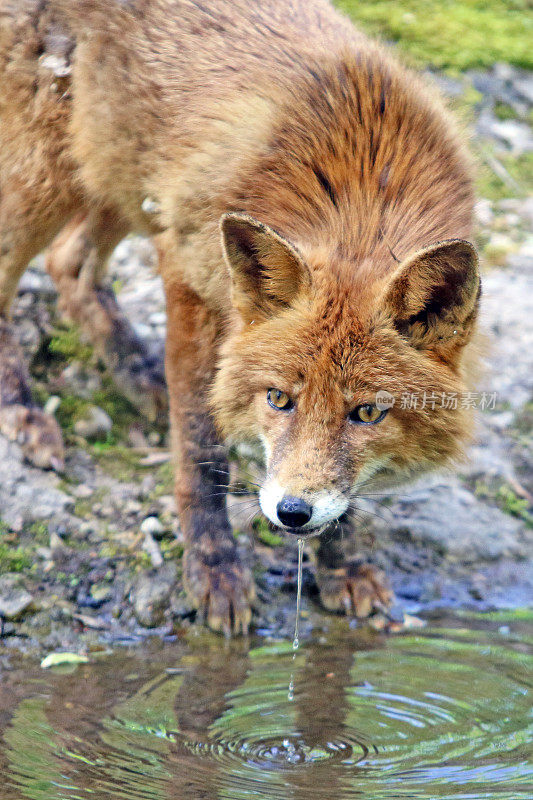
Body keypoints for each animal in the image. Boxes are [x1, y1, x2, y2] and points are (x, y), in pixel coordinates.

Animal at [0, 3, 478, 636]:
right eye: (278, 400)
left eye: (368, 413)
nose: (293, 513)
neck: (360, 185)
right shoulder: (189, 278)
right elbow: (202, 453)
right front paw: (214, 569)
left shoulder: (174, 229)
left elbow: (345, 498)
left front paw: (341, 568)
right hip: (49, 172)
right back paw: (24, 411)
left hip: (115, 170)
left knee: (70, 264)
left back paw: (136, 373)